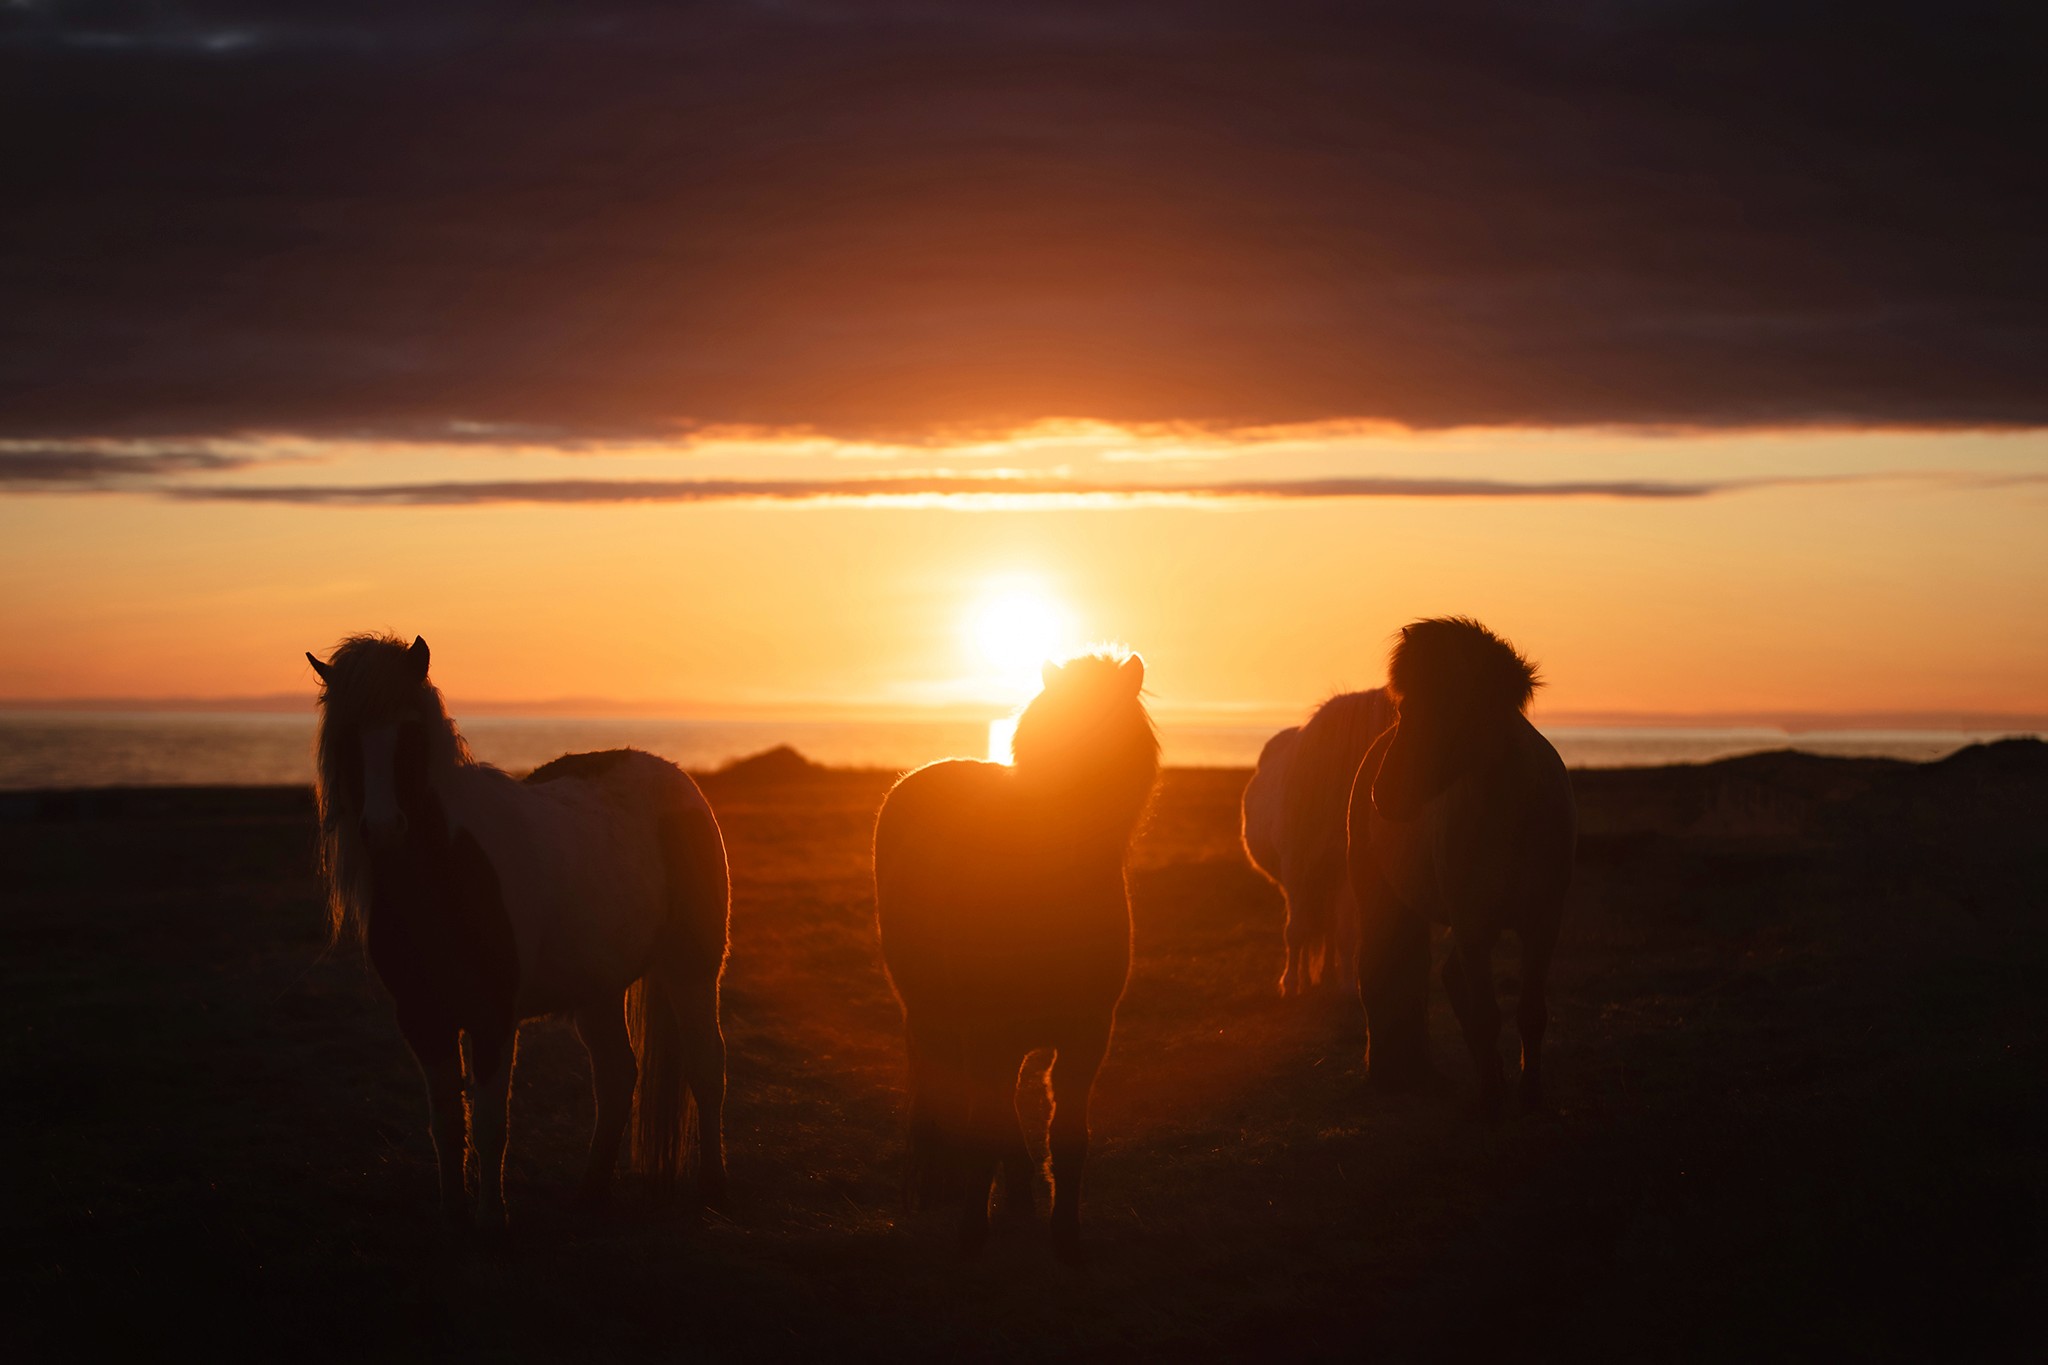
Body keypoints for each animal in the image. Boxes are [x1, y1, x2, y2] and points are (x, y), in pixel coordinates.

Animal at [307, 633, 730, 1229]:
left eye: (410, 734)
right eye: (347, 738)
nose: (384, 829)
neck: (447, 871)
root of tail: (678, 780)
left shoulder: (492, 1018)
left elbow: (488, 1124)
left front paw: (491, 1219)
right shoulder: (422, 1020)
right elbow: (447, 1124)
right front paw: (453, 1212)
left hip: (691, 969)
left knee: (705, 1067)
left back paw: (714, 1186)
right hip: (597, 990)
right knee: (617, 1077)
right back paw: (589, 1193)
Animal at [874, 651, 1157, 1261]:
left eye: (1113, 729)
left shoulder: (1087, 1035)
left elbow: (1068, 1134)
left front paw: (1065, 1232)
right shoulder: (990, 1029)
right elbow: (986, 1124)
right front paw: (972, 1231)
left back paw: (1022, 1193)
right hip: (938, 1019)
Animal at [1242, 689, 1397, 998]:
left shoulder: (1345, 872)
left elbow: (1344, 933)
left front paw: (1348, 984)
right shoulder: (1294, 869)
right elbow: (1296, 930)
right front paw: (1290, 983)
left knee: (1327, 928)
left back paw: (1326, 975)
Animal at [1344, 618, 1575, 1116]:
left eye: (1453, 705)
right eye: (1404, 707)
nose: (1385, 795)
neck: (1507, 814)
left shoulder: (1541, 924)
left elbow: (1531, 1013)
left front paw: (1528, 1096)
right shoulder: (1472, 926)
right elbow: (1488, 1014)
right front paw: (1490, 1101)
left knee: (1449, 977)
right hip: (1384, 901)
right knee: (1379, 971)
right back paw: (1391, 1073)